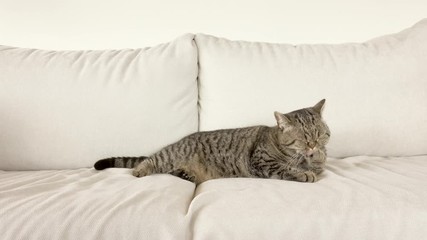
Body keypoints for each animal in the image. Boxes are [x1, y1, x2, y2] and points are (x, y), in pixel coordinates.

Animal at [95, 98, 332, 185]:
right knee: (150, 160)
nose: (313, 145)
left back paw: (187, 175)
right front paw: (304, 172)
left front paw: (317, 157)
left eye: (319, 134)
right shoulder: (262, 162)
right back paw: (140, 170)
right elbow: (288, 168)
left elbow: (318, 162)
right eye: (303, 138)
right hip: (170, 156)